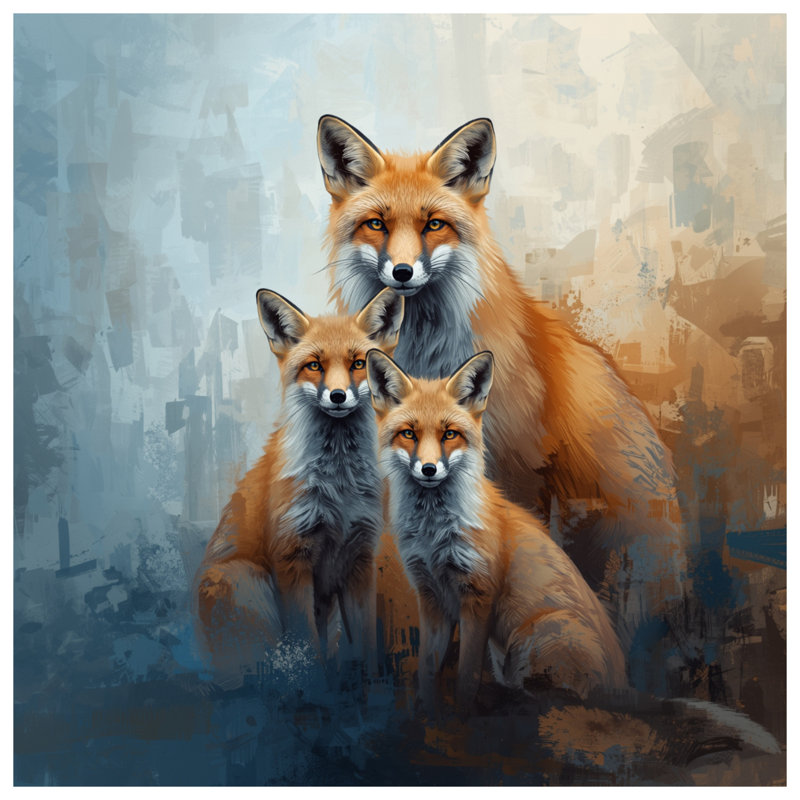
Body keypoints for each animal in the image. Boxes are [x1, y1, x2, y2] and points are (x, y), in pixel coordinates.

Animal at [194, 286, 404, 681]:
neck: (339, 487)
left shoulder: (360, 560)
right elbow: (307, 651)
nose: (337, 396)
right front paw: (316, 688)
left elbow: (366, 645)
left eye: (357, 364)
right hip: (247, 581)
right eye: (314, 365)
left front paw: (371, 689)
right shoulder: (292, 557)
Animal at [366, 348, 628, 713]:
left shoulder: (478, 596)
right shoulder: (430, 596)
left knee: (556, 697)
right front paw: (428, 711)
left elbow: (466, 676)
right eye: (409, 433)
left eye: (450, 434)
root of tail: (622, 684)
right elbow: (428, 669)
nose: (429, 469)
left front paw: (462, 715)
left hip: (534, 638)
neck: (433, 534)